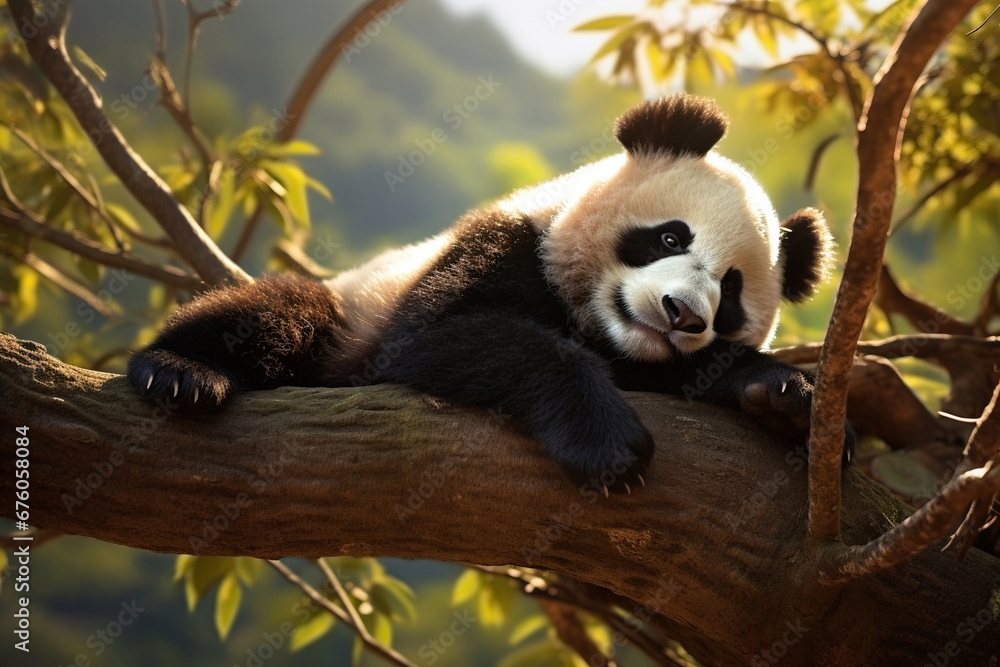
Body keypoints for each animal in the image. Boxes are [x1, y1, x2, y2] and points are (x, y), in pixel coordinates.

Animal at [127, 94, 852, 493]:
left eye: (730, 295)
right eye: (671, 236)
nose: (682, 315)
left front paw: (784, 395)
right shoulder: (502, 243)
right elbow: (441, 339)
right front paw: (609, 445)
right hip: (348, 305)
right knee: (279, 315)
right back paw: (180, 371)